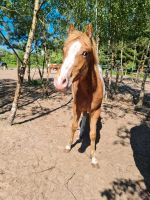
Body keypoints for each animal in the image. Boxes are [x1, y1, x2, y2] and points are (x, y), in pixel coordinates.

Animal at [54, 23, 104, 167]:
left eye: (85, 53)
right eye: (63, 50)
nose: (59, 82)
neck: (89, 90)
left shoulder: (96, 111)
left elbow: (93, 134)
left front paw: (93, 158)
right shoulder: (75, 107)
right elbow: (73, 126)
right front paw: (68, 146)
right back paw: (80, 134)